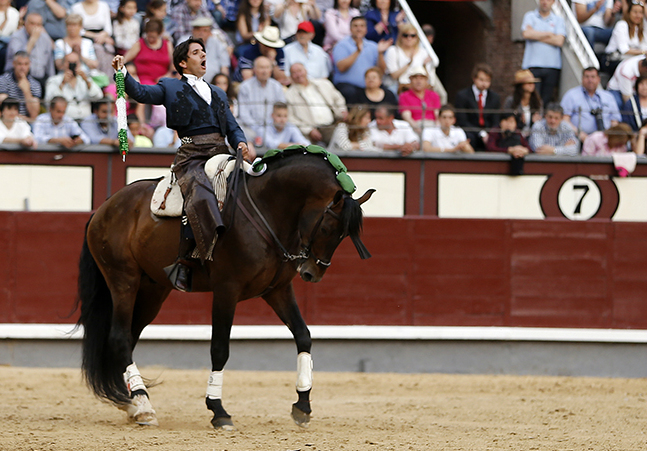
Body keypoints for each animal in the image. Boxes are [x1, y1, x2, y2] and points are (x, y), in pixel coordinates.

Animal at [76, 149, 374, 430]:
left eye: (344, 235)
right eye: (327, 227)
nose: (312, 273)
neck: (266, 210)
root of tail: (103, 208)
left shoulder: (278, 289)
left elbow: (303, 335)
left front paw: (302, 405)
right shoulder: (226, 290)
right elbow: (220, 348)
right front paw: (219, 411)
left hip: (153, 290)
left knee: (130, 335)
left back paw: (134, 403)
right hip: (123, 279)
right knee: (119, 337)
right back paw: (144, 406)